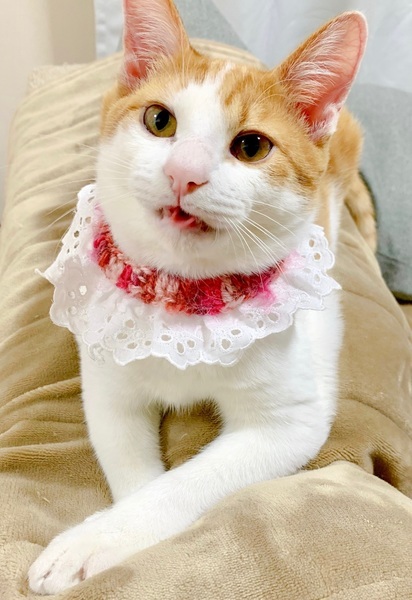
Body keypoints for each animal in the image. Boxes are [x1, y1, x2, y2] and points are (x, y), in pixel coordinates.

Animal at [29, 0, 375, 594]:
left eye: (252, 145)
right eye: (159, 120)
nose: (182, 173)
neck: (185, 302)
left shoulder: (292, 422)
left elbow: (182, 485)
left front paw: (94, 541)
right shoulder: (107, 388)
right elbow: (132, 465)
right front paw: (110, 531)